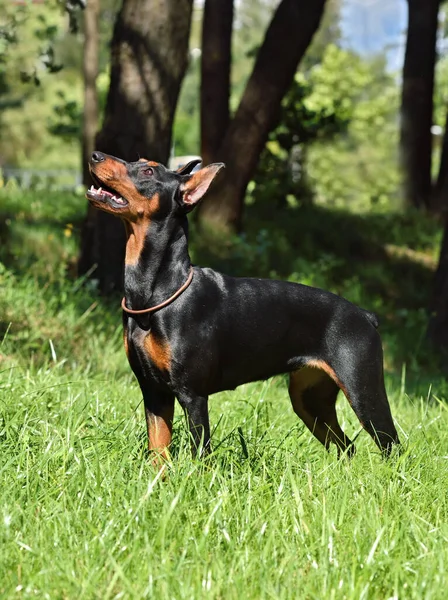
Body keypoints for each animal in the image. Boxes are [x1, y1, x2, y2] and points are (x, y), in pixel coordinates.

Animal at [86, 152, 400, 462]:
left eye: (149, 172)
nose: (95, 155)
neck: (154, 293)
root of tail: (366, 316)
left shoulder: (192, 394)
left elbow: (201, 454)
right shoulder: (153, 391)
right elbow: (158, 453)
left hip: (362, 390)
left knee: (391, 445)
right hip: (309, 399)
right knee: (346, 447)